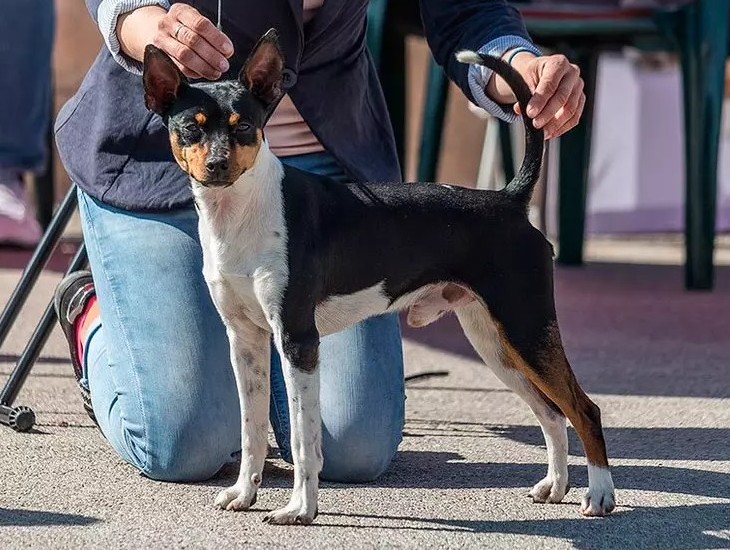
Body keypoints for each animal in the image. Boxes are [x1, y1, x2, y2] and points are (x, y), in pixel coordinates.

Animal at [141, 29, 616, 528]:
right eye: (191, 128)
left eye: (244, 127)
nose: (217, 165)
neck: (244, 215)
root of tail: (508, 200)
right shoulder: (246, 340)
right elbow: (251, 431)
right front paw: (244, 493)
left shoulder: (298, 341)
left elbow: (305, 443)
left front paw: (300, 509)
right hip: (496, 342)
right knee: (552, 412)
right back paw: (555, 486)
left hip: (526, 329)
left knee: (583, 409)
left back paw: (600, 495)